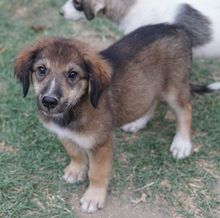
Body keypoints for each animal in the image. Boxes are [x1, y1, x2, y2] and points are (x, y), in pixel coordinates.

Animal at [15, 23, 210, 213]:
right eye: (41, 70)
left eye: (73, 74)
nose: (49, 101)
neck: (74, 109)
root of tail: (177, 27)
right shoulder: (63, 133)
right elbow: (74, 152)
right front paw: (77, 170)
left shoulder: (101, 143)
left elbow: (97, 173)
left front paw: (94, 197)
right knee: (152, 100)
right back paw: (138, 122)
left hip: (175, 86)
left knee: (185, 110)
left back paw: (182, 143)